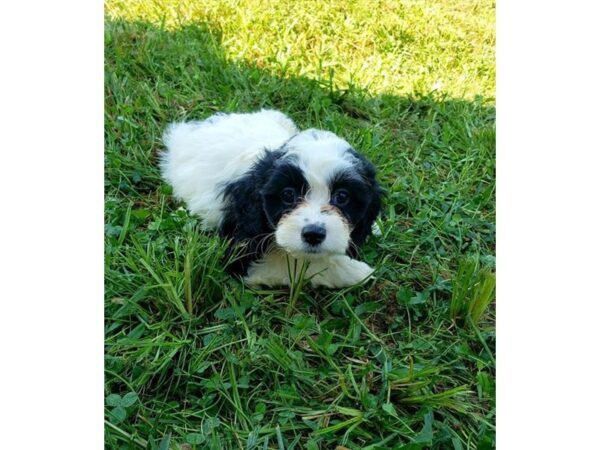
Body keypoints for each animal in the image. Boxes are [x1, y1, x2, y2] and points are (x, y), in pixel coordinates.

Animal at [162, 108, 382, 288]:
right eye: (288, 194)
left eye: (342, 196)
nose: (313, 234)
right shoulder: (241, 248)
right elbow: (294, 263)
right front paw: (355, 271)